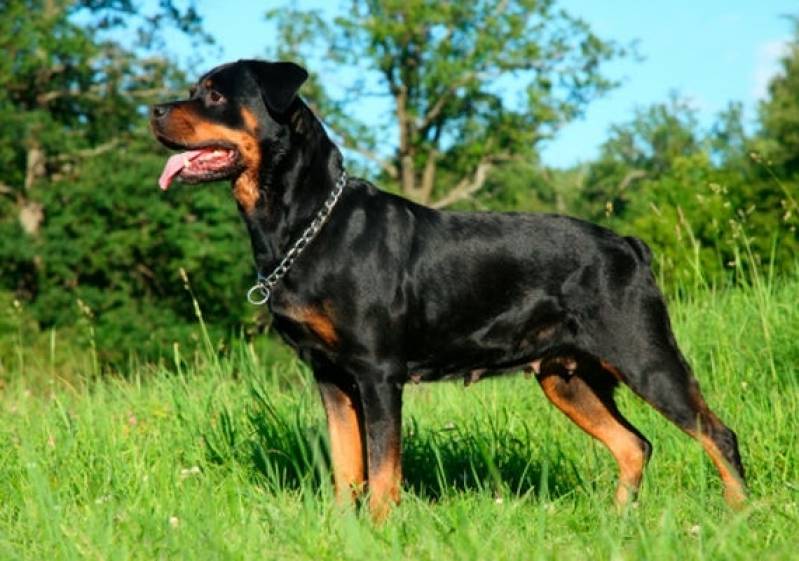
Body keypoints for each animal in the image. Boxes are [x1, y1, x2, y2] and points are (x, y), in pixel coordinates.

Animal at [152, 59, 752, 520]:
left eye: (215, 94)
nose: (154, 111)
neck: (306, 223)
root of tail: (629, 246)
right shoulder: (330, 376)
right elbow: (347, 467)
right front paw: (342, 527)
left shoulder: (377, 373)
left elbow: (383, 469)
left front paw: (378, 529)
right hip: (566, 377)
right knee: (634, 445)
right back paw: (619, 522)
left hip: (644, 355)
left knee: (718, 434)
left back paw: (739, 516)